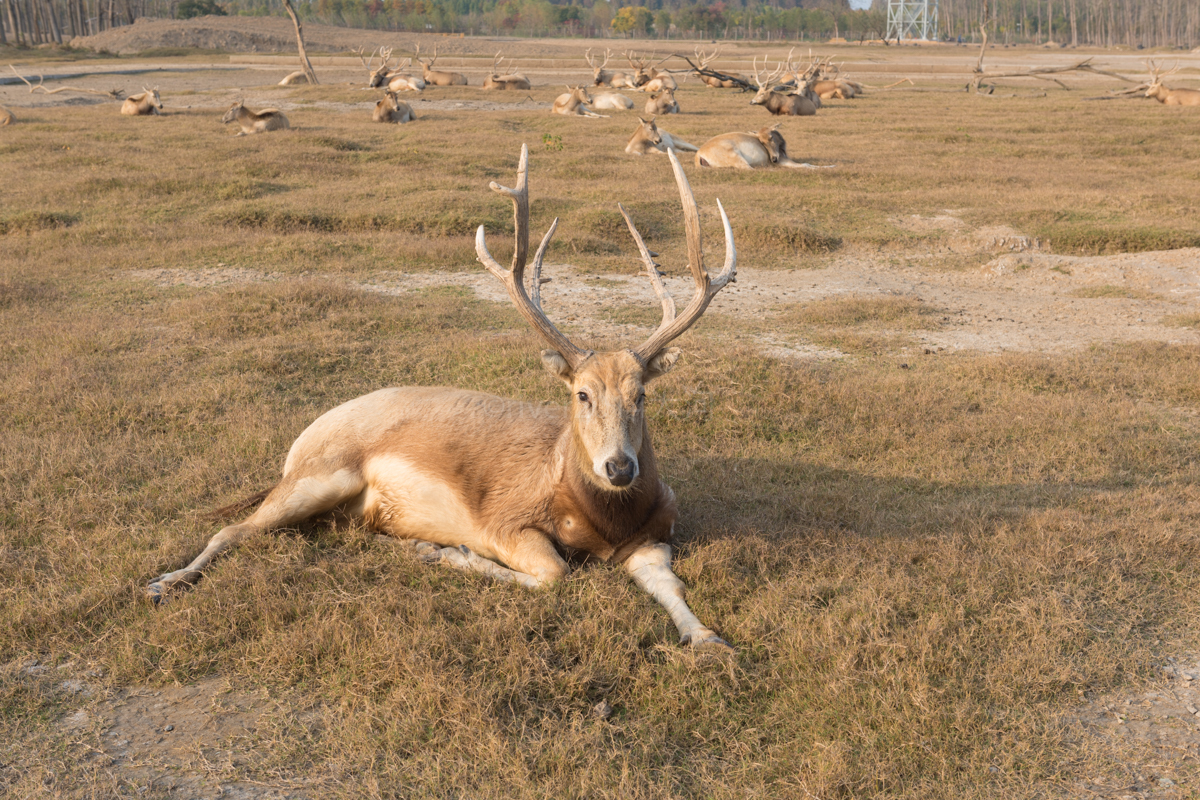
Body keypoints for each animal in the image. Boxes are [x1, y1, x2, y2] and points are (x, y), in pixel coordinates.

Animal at [145, 145, 734, 657]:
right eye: (581, 393)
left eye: (642, 394)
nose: (619, 467)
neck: (599, 519)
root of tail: (299, 444)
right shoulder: (503, 520)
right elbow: (553, 573)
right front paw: (448, 553)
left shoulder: (655, 533)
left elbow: (673, 587)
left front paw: (708, 640)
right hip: (320, 474)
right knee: (233, 527)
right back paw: (164, 582)